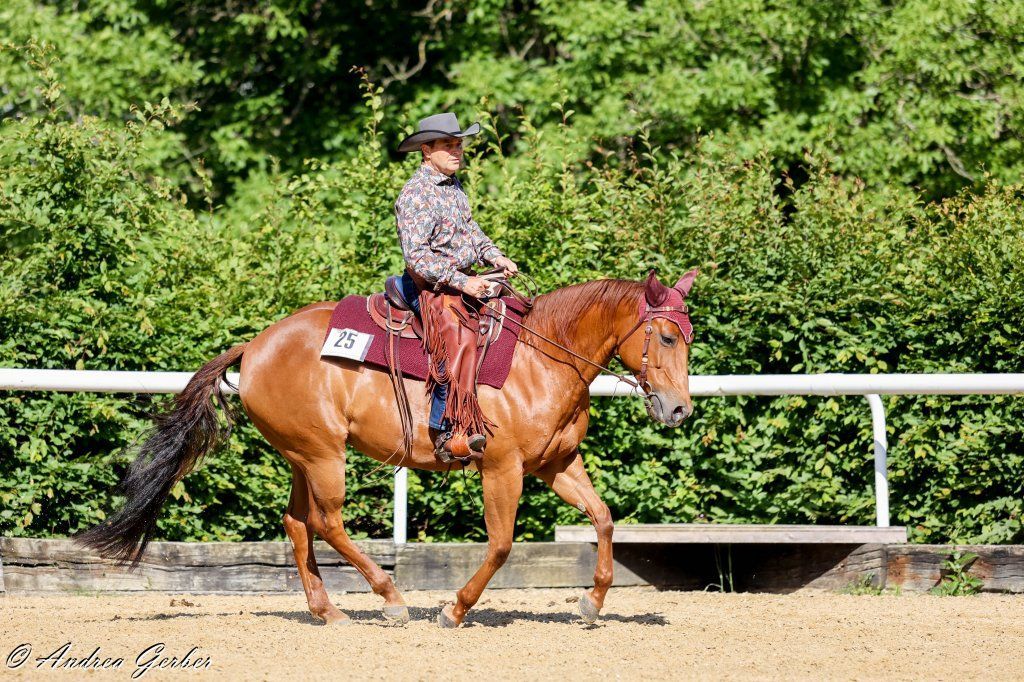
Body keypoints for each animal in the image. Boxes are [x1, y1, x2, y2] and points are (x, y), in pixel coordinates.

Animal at [77, 270, 697, 627]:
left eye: (689, 337)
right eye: (666, 336)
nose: (679, 409)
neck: (541, 359)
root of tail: (253, 347)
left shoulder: (556, 464)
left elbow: (604, 517)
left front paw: (592, 602)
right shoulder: (502, 468)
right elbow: (500, 545)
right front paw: (454, 608)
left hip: (303, 457)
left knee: (297, 522)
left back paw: (328, 611)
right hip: (324, 456)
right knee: (326, 523)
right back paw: (391, 599)